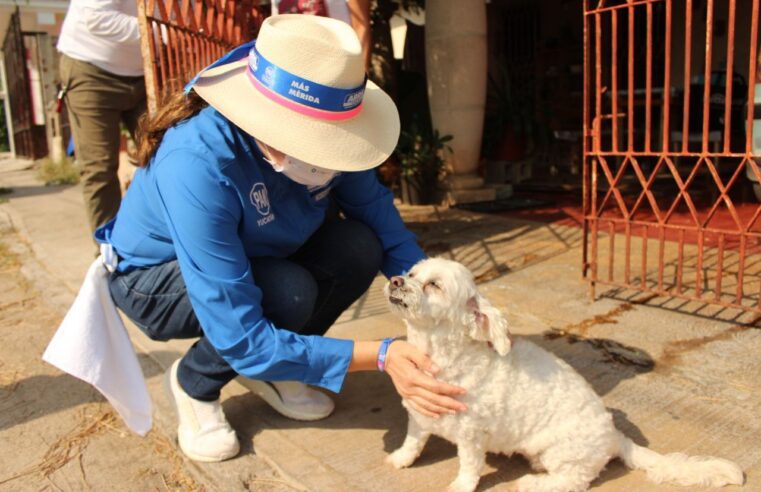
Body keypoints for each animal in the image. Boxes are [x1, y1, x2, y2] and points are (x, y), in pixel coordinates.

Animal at [382, 258, 740, 492]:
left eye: (433, 285)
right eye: (411, 273)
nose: (396, 280)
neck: (442, 355)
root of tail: (614, 437)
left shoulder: (472, 436)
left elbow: (469, 468)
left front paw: (459, 486)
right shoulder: (418, 415)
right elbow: (413, 442)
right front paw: (400, 458)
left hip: (563, 451)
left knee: (574, 481)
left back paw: (534, 483)